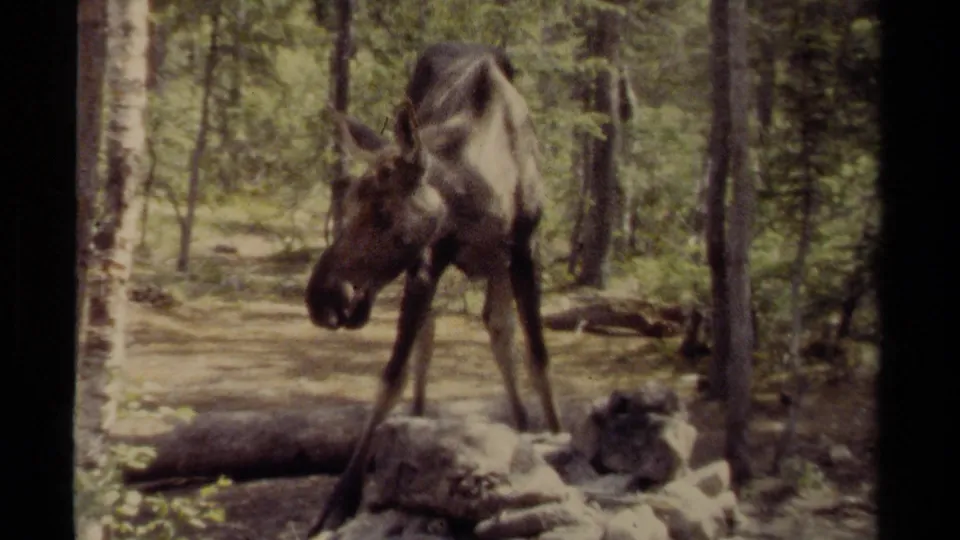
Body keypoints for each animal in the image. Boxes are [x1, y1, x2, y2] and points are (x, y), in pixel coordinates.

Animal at [303, 42, 564, 534]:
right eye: (348, 201)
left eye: (384, 213)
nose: (321, 299)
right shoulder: (429, 258)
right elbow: (392, 375)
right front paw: (340, 500)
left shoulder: (525, 248)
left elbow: (538, 356)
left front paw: (556, 435)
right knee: (430, 338)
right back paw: (419, 423)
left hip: (496, 265)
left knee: (499, 331)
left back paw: (521, 423)